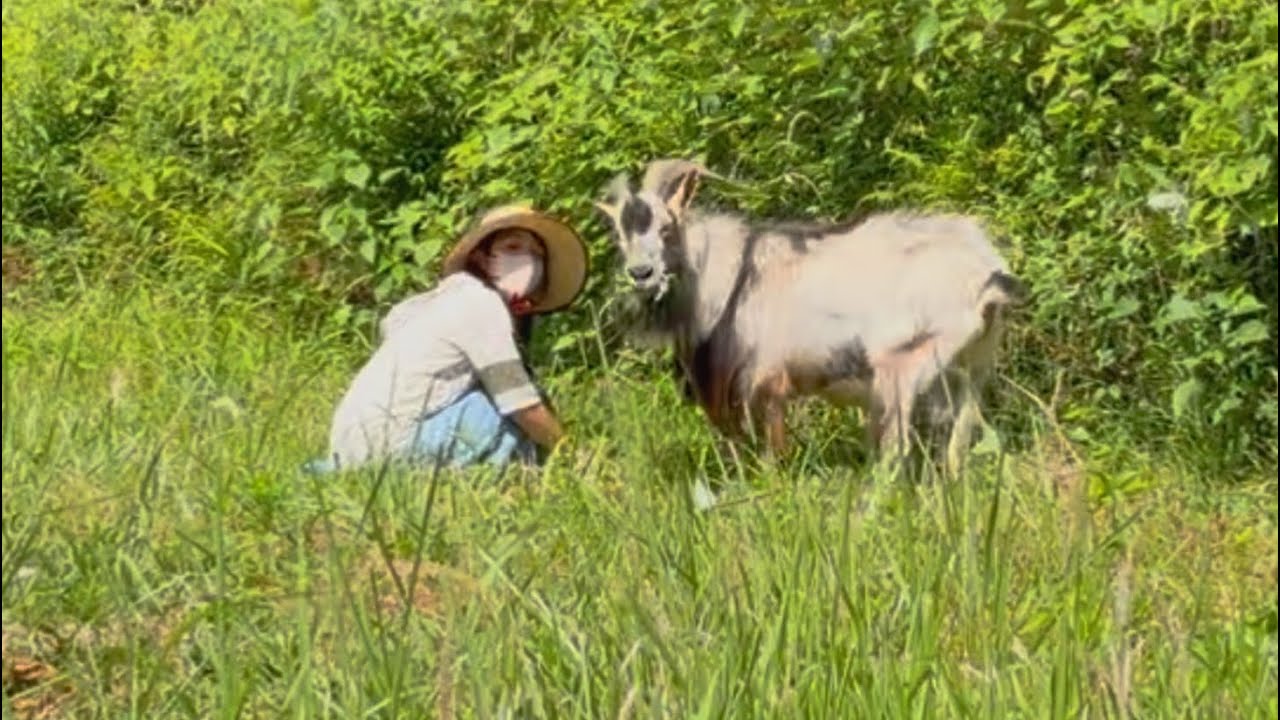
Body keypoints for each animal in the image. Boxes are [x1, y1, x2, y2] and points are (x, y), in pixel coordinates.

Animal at [593, 159, 1025, 474]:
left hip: (904, 366)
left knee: (894, 451)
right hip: (971, 369)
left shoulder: (764, 383)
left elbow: (772, 461)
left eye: (667, 228)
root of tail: (985, 272)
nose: (641, 273)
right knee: (955, 447)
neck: (731, 277)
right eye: (619, 235)